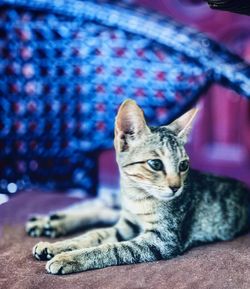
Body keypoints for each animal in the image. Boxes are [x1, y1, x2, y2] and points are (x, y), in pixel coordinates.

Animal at [28, 100, 249, 274]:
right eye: (156, 164)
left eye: (184, 165)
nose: (176, 188)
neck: (137, 197)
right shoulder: (129, 224)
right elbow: (95, 234)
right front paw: (60, 246)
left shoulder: (160, 241)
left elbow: (111, 248)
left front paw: (68, 257)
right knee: (99, 205)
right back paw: (47, 221)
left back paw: (52, 222)